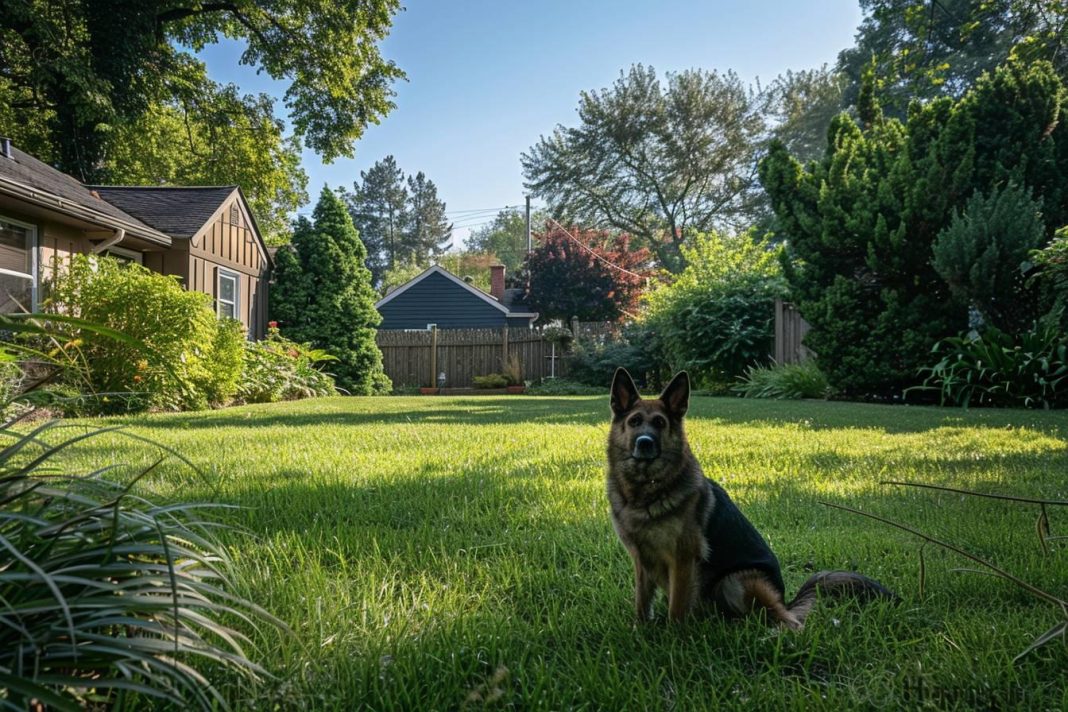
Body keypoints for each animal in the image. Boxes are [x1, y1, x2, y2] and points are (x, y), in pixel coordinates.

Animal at [610, 371, 892, 627]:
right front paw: (640, 631)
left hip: (738, 580)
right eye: (635, 421)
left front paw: (674, 638)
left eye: (659, 423)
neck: (645, 491)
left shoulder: (682, 559)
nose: (644, 443)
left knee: (789, 620)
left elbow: (677, 608)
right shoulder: (641, 562)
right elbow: (641, 603)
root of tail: (785, 599)